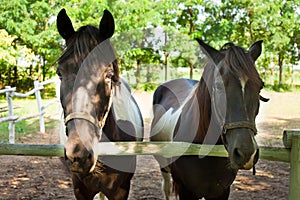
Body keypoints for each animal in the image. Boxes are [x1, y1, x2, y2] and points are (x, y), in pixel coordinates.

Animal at [151, 39, 268, 199]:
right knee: (166, 188)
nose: (246, 153)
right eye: (218, 86)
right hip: (164, 166)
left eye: (260, 86)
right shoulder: (185, 191)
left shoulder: (221, 192)